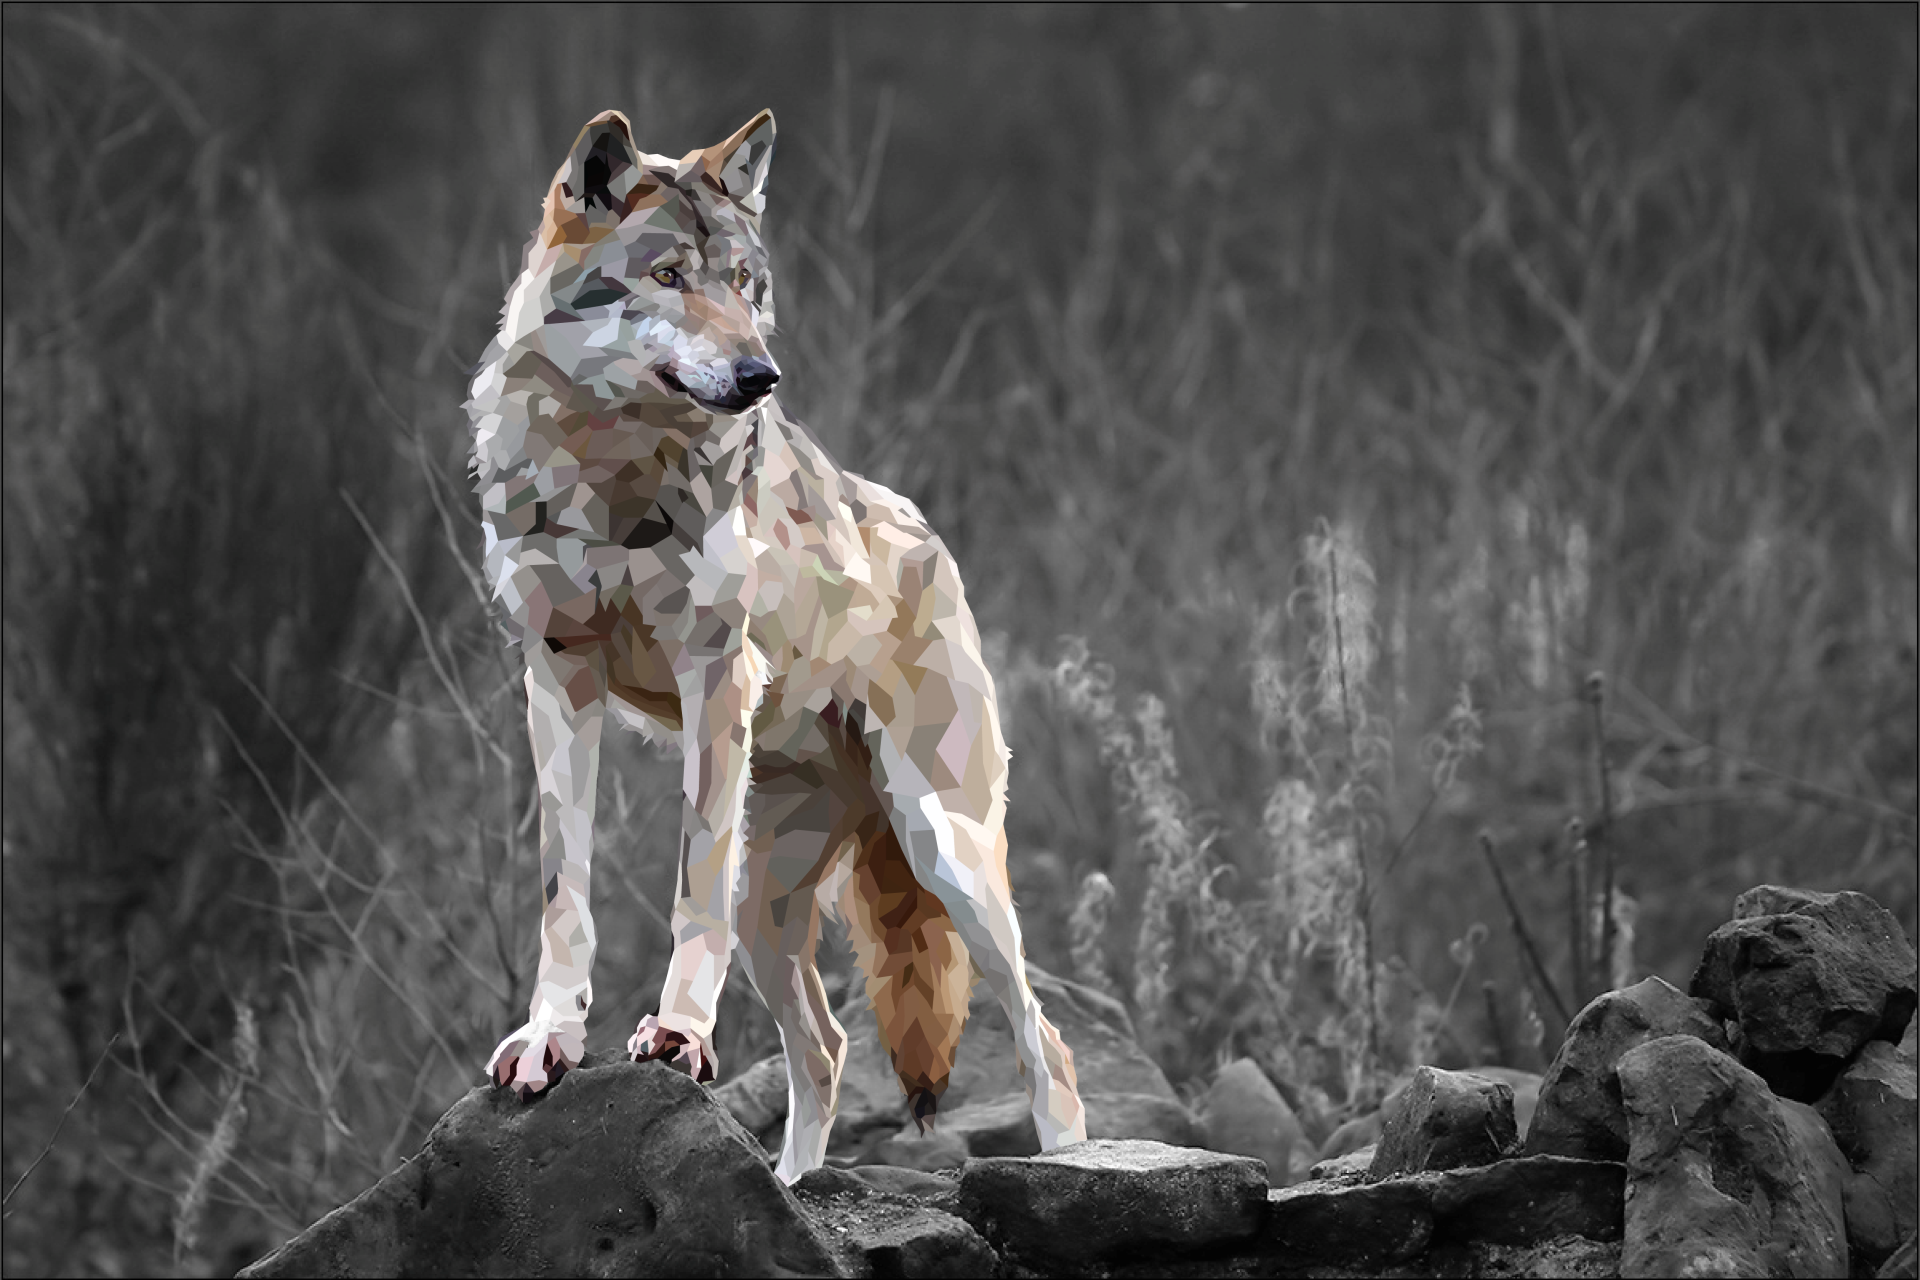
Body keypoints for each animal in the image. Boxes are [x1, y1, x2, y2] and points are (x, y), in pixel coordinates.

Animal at [465, 108, 1087, 1182]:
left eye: (746, 286)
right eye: (669, 275)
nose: (762, 377)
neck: (610, 470)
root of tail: (928, 535)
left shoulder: (715, 673)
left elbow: (690, 892)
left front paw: (677, 1035)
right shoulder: (556, 678)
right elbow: (563, 894)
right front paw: (549, 1040)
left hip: (944, 851)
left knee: (1045, 1043)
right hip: (777, 907)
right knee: (828, 1050)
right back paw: (793, 1188)